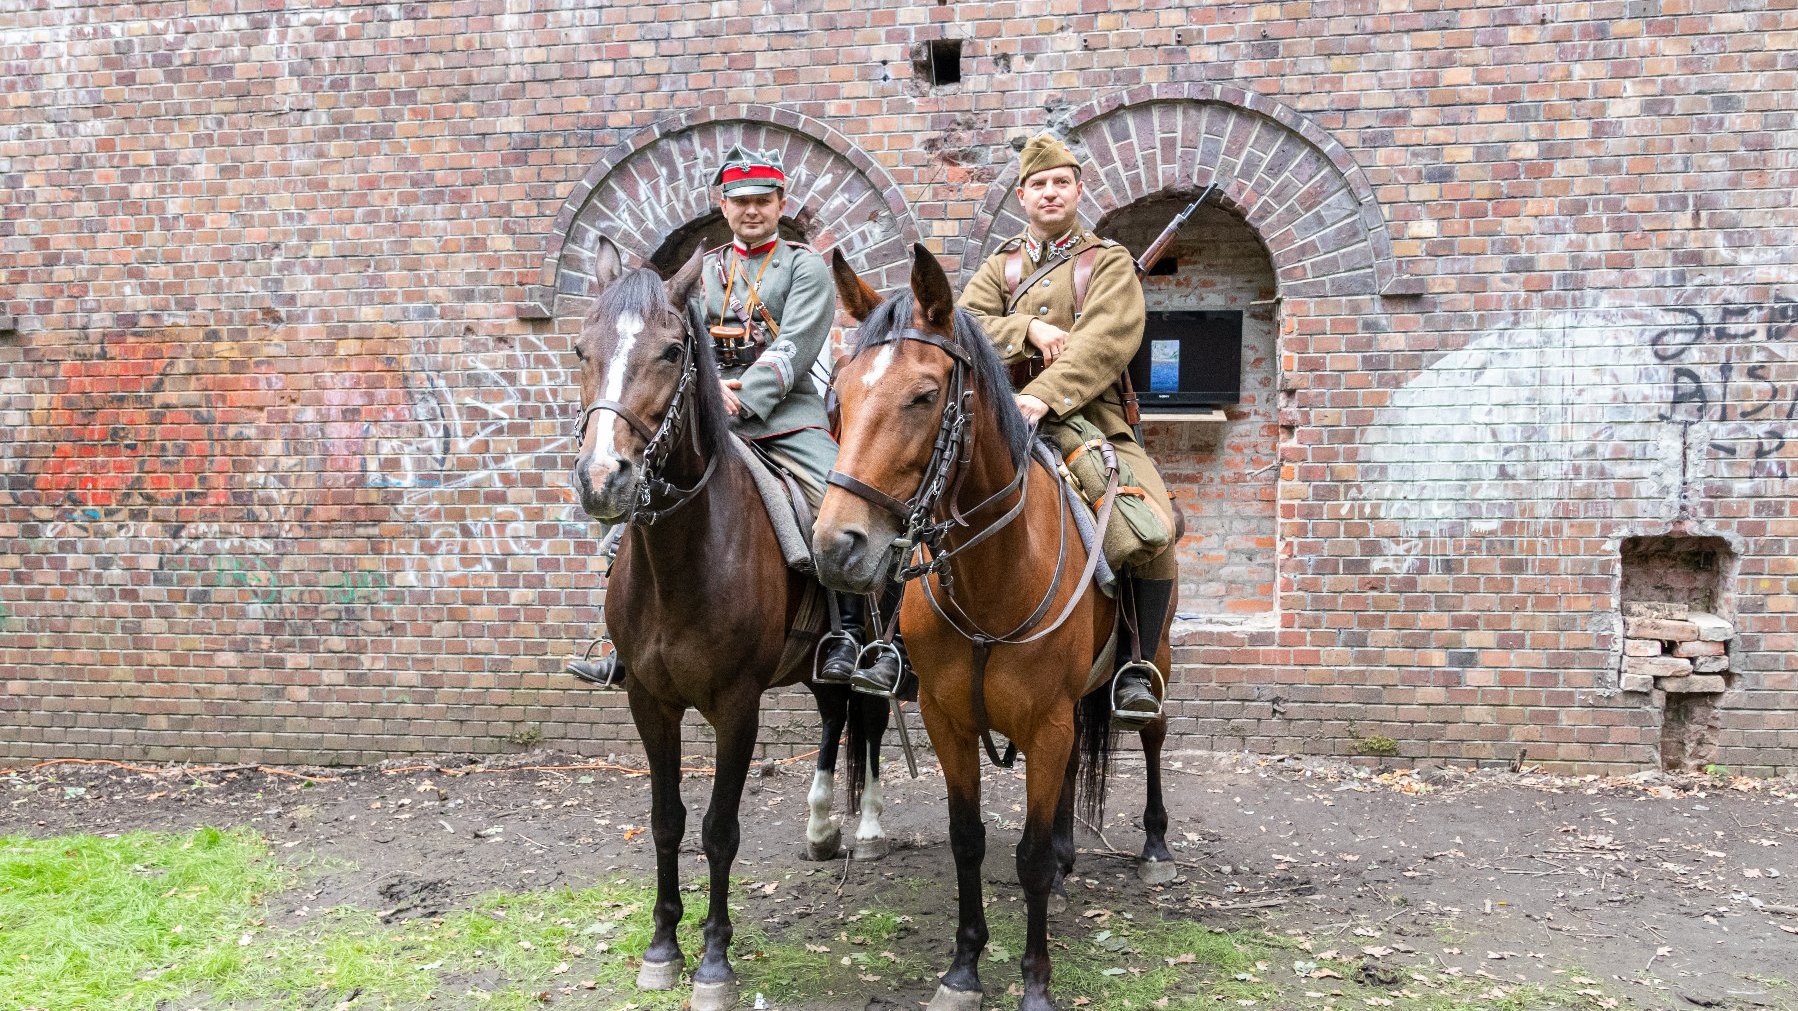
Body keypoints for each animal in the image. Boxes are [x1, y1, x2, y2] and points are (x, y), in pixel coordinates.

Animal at [568, 237, 891, 1007]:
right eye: (581, 349)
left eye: (670, 352)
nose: (602, 479)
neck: (681, 559)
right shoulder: (648, 701)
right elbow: (666, 821)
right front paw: (662, 947)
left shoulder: (736, 707)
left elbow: (718, 830)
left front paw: (714, 960)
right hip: (813, 663)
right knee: (834, 715)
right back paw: (821, 825)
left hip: (876, 644)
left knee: (867, 720)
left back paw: (866, 829)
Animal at [816, 244, 1179, 1007]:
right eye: (839, 399)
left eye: (924, 396)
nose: (837, 546)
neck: (994, 576)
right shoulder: (948, 719)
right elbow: (968, 839)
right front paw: (962, 969)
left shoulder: (1045, 721)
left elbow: (1030, 852)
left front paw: (1035, 981)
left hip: (1152, 656)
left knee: (1153, 735)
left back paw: (1156, 846)